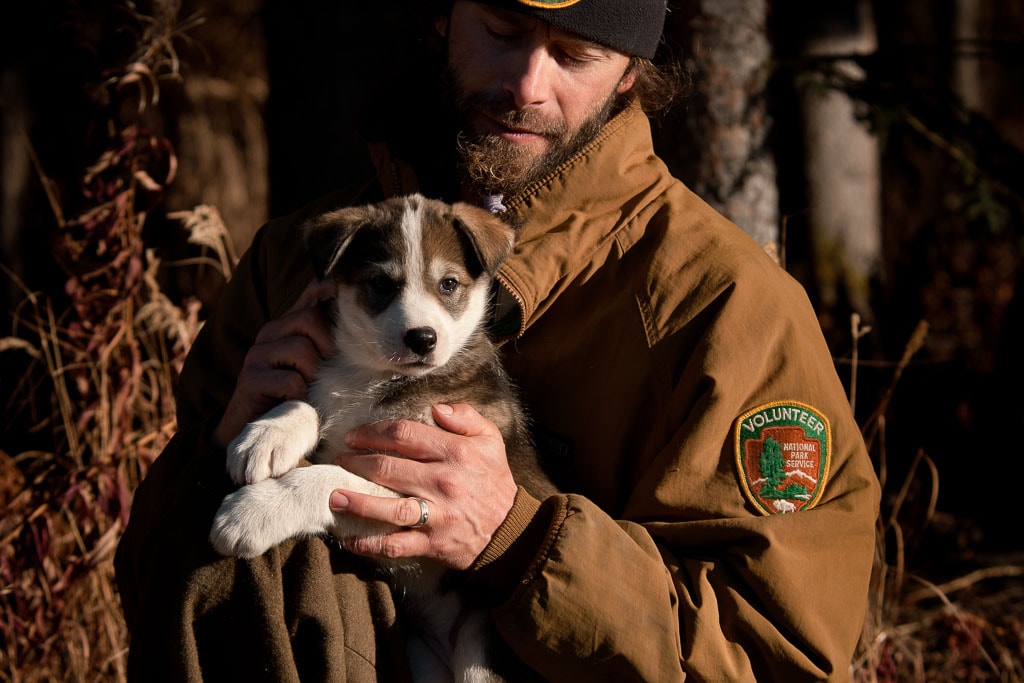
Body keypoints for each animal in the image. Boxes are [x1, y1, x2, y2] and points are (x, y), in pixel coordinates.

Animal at [208, 192, 557, 683]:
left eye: (448, 284)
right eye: (380, 284)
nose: (422, 338)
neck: (374, 377)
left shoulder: (425, 491)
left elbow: (328, 477)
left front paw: (252, 512)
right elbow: (309, 405)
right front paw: (266, 434)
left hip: (479, 647)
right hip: (421, 659)